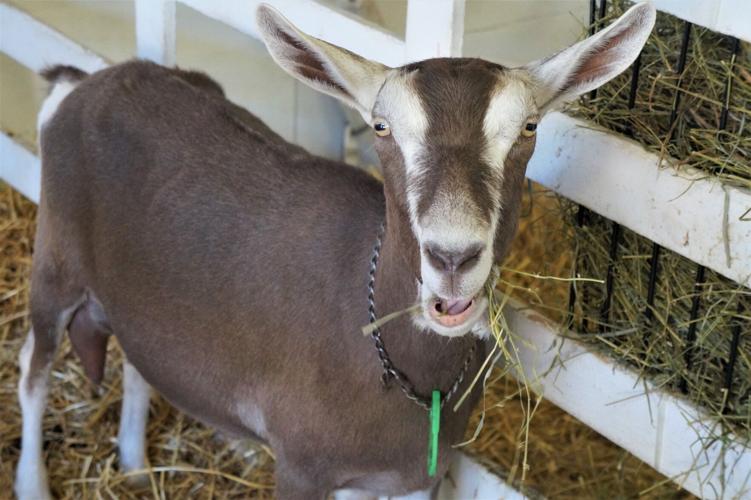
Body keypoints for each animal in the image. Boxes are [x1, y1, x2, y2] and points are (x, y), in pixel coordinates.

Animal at [15, 3, 655, 499]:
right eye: (380, 127)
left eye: (528, 128)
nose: (452, 259)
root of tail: (81, 82)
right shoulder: (302, 465)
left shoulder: (416, 476)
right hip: (56, 258)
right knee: (33, 367)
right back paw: (32, 483)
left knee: (137, 358)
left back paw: (132, 463)